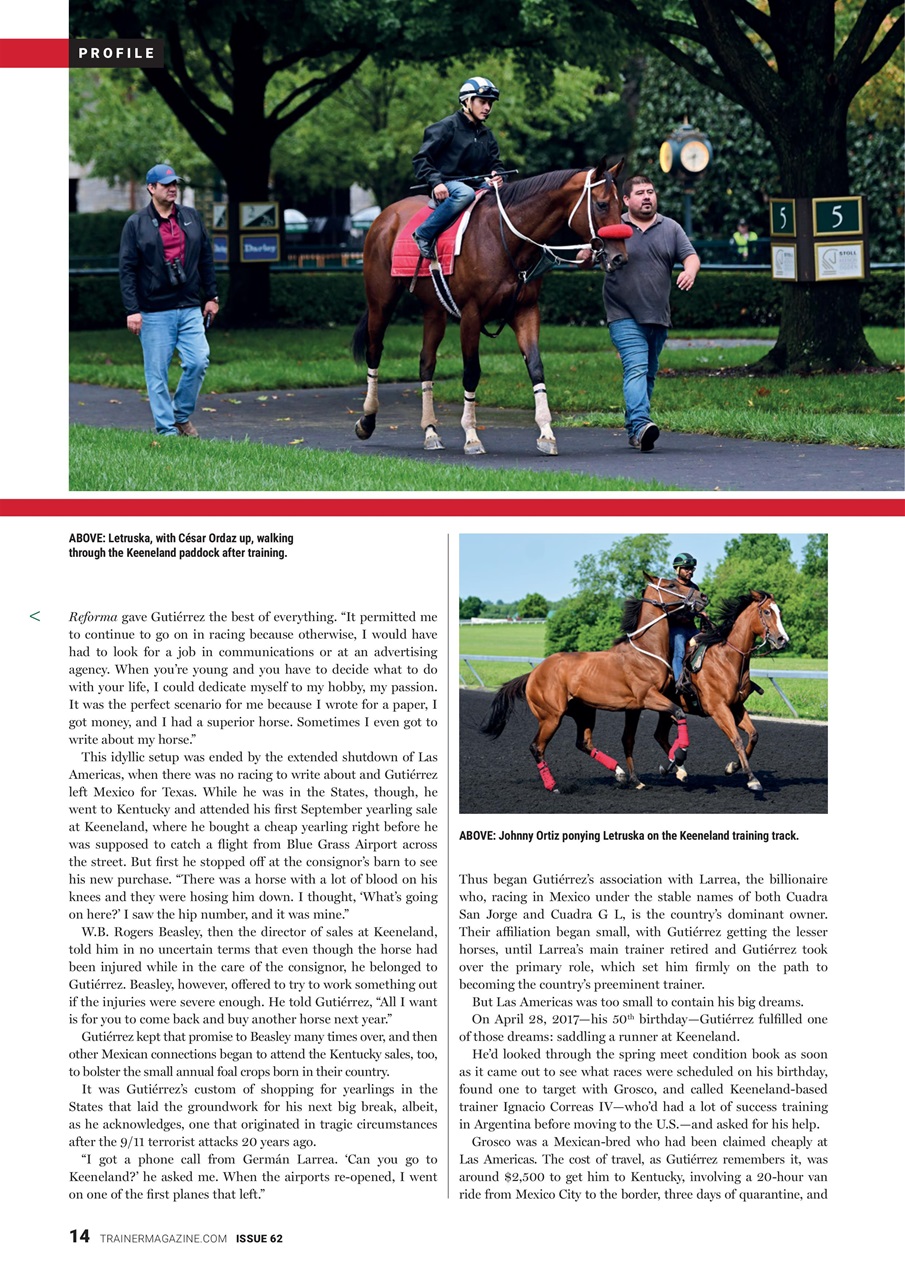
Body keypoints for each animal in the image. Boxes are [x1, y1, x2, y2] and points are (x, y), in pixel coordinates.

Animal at [352, 160, 629, 456]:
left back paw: (430, 431)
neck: (503, 238)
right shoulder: (471, 316)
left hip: (434, 312)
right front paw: (472, 436)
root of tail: (385, 216)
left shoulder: (526, 311)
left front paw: (546, 432)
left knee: (426, 363)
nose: (619, 258)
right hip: (381, 303)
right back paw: (367, 420)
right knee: (374, 351)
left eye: (620, 205)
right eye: (602, 204)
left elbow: (536, 367)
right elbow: (472, 372)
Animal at [479, 573, 708, 794]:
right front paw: (677, 759)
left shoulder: (635, 707)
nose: (702, 597)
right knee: (537, 747)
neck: (645, 652)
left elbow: (630, 739)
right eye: (672, 585)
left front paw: (642, 778)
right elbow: (678, 712)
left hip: (584, 712)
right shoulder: (648, 696)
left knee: (583, 743)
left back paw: (619, 773)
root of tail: (533, 673)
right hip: (551, 716)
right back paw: (553, 785)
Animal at [631, 591, 790, 794]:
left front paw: (732, 767)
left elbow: (753, 735)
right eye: (767, 612)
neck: (727, 659)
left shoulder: (736, 707)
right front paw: (752, 778)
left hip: (667, 710)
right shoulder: (718, 709)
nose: (782, 640)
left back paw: (676, 768)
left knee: (660, 735)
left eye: (780, 612)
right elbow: (737, 739)